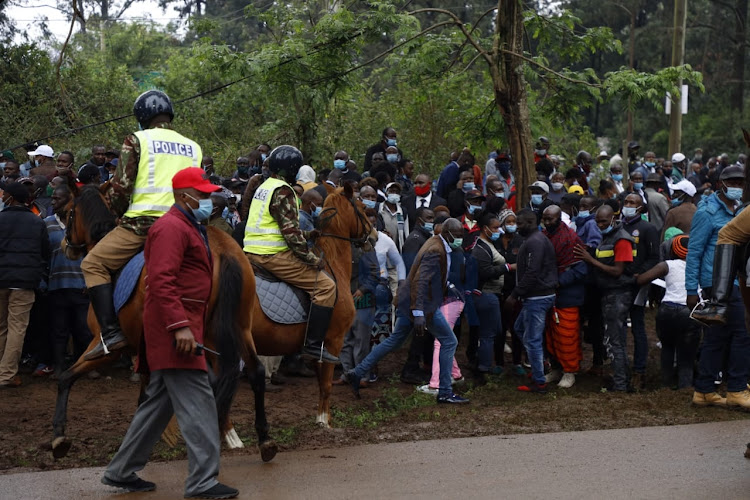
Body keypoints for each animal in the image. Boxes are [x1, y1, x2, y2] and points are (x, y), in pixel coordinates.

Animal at [250, 182, 374, 428]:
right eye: (364, 207)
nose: (374, 236)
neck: (332, 264)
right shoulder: (333, 341)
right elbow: (325, 386)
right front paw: (324, 422)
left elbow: (320, 384)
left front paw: (322, 417)